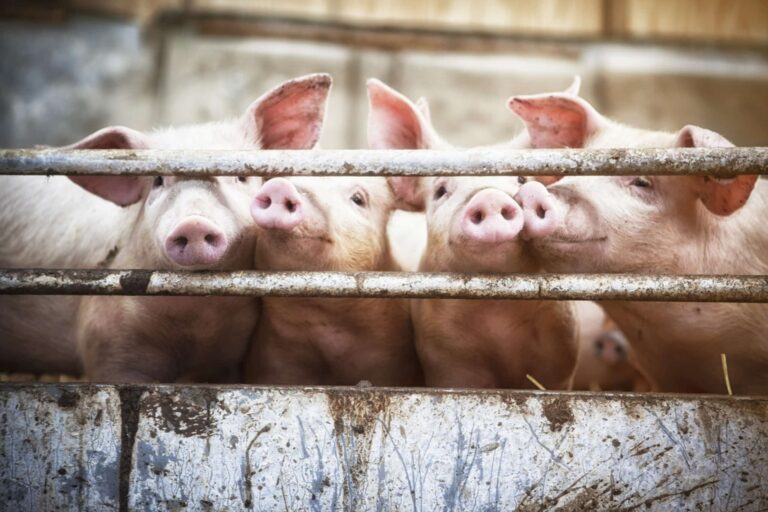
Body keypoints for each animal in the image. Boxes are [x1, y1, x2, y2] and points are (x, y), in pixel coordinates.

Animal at [366, 80, 576, 390]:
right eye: (441, 190)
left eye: (521, 179)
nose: (489, 196)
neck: (496, 314)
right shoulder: (446, 359)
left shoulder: (561, 355)